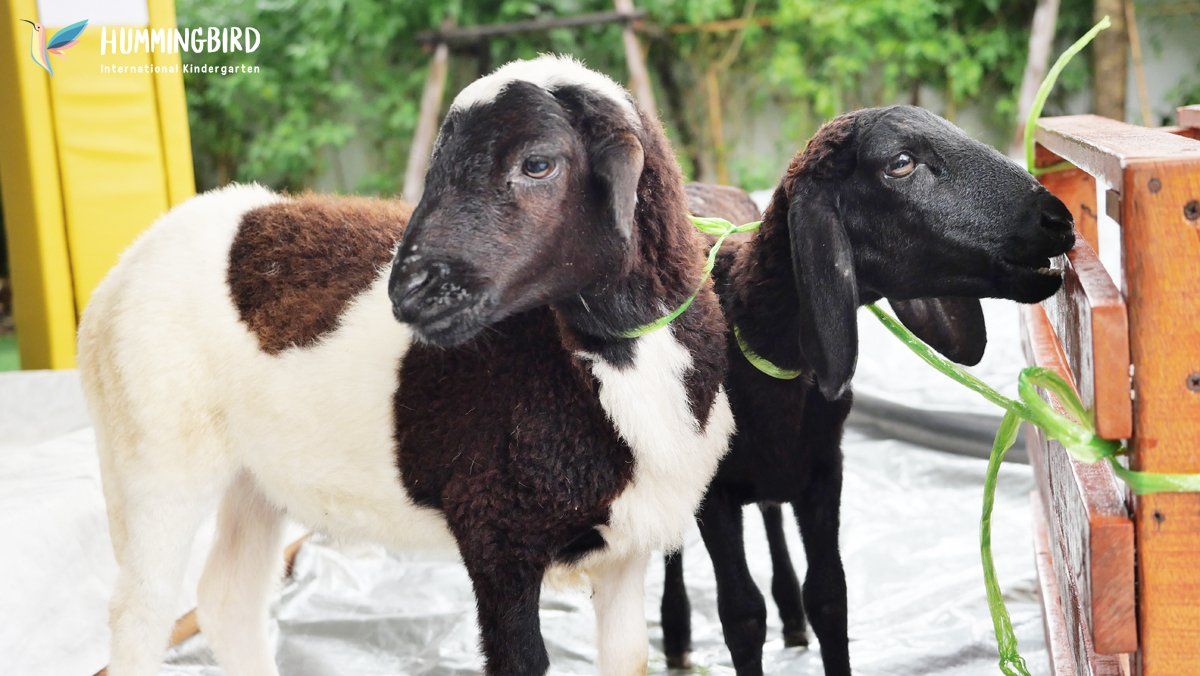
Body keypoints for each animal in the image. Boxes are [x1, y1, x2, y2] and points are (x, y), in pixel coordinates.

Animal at [78, 55, 734, 676]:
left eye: (538, 164)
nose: (410, 289)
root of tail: (126, 263)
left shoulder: (624, 553)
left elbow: (631, 659)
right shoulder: (495, 532)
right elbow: (521, 661)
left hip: (252, 476)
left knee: (227, 597)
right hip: (154, 456)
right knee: (143, 612)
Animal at [662, 106, 1075, 675]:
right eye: (900, 163)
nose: (1058, 219)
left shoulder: (823, 467)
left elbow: (829, 597)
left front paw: (809, 616)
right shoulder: (715, 492)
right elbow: (741, 616)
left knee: (771, 517)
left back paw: (790, 620)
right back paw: (676, 638)